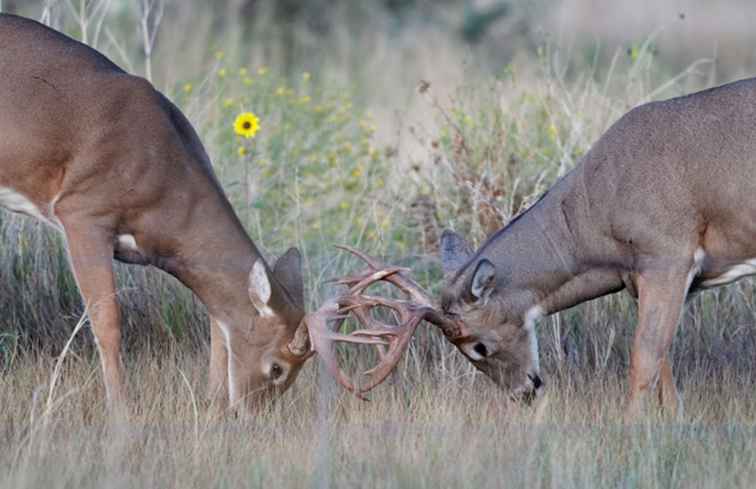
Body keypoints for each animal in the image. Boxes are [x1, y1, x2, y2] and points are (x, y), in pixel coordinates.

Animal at [438, 77, 756, 416]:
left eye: (479, 347)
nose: (523, 392)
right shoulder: (642, 280)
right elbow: (664, 372)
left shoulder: (668, 257)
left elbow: (644, 358)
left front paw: (631, 424)